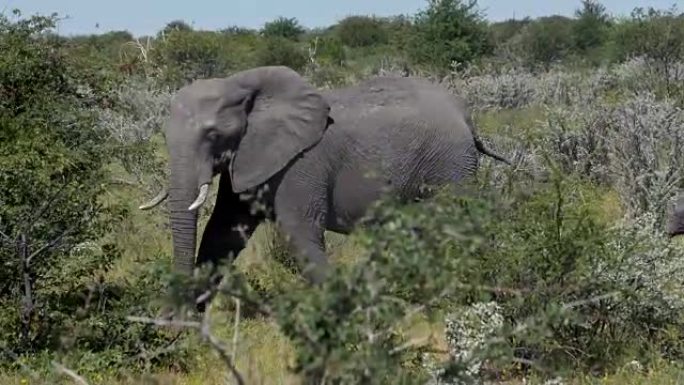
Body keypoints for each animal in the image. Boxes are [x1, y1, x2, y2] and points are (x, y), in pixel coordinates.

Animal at [138, 64, 508, 300]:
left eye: (213, 134)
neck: (242, 86)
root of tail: (466, 116)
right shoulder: (247, 158)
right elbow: (223, 232)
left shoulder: (302, 163)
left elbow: (298, 231)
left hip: (450, 164)